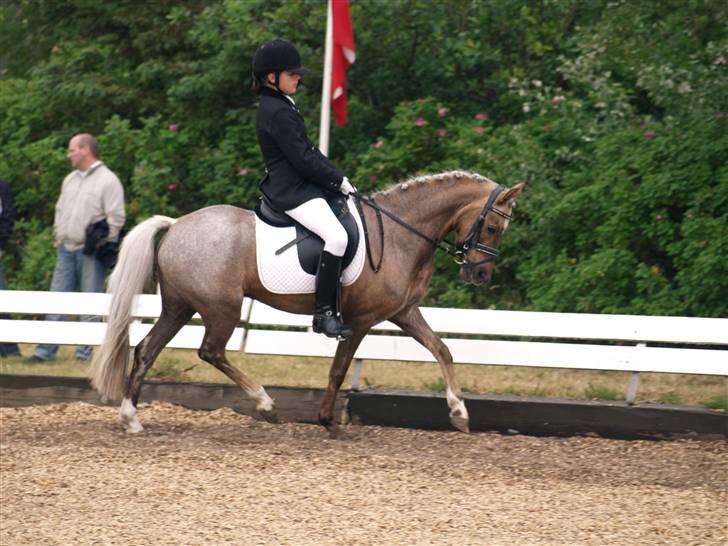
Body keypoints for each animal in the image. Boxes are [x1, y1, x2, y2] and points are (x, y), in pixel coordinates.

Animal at [91, 168, 524, 436]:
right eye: (492, 225)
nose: (480, 275)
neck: (402, 232)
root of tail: (176, 224)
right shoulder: (360, 320)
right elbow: (338, 370)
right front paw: (328, 420)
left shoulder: (403, 312)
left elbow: (442, 349)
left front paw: (460, 413)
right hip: (221, 309)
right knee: (210, 351)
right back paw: (266, 405)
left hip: (180, 307)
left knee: (147, 350)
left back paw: (131, 419)